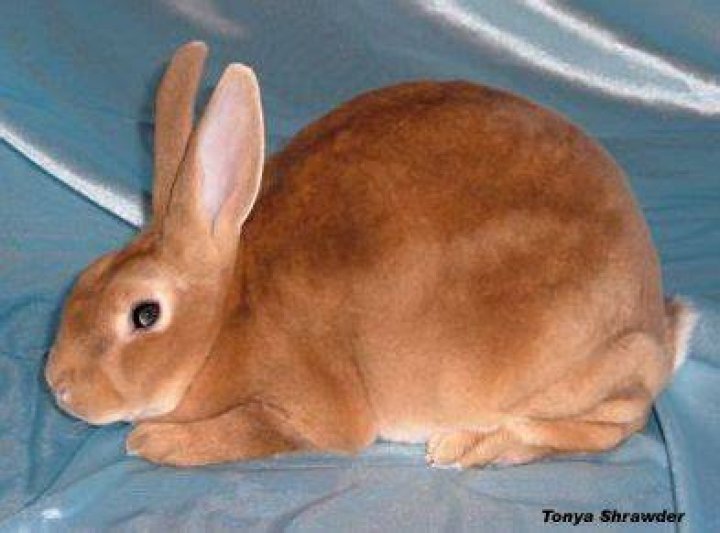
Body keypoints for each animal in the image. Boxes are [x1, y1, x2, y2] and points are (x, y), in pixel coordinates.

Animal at [45, 41, 697, 468]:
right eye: (85, 279)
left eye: (144, 314)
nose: (57, 384)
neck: (229, 314)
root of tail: (658, 327)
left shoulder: (312, 408)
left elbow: (257, 429)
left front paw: (153, 441)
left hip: (575, 365)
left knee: (618, 422)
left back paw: (470, 446)